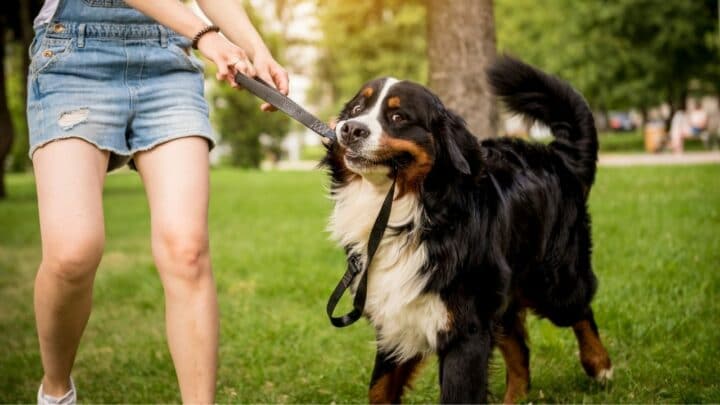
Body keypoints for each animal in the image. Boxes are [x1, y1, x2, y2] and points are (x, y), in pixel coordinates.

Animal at [324, 56, 612, 400]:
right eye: (357, 108)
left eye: (397, 116)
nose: (350, 129)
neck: (407, 215)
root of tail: (556, 156)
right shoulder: (397, 320)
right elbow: (379, 390)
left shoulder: (466, 329)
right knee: (521, 353)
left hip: (552, 282)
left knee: (580, 309)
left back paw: (600, 364)